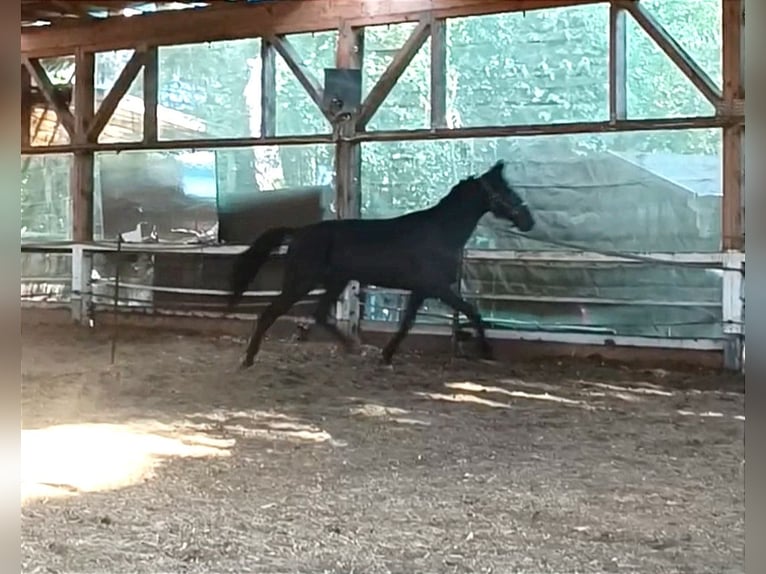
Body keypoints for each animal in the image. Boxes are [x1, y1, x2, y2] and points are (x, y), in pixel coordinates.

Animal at [230, 161, 536, 368]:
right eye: (506, 191)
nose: (528, 220)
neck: (440, 232)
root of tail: (299, 232)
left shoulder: (421, 290)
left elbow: (407, 322)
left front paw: (387, 355)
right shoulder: (438, 288)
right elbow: (472, 312)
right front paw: (487, 350)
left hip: (335, 281)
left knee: (319, 314)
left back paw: (352, 346)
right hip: (301, 282)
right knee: (270, 313)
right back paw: (248, 359)